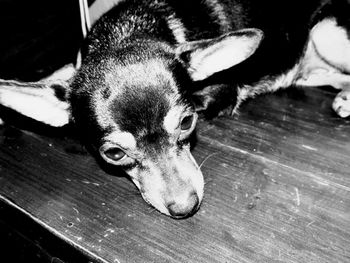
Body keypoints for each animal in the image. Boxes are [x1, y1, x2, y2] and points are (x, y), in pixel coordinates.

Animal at [0, 0, 350, 219]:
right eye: (114, 154)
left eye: (186, 122)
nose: (185, 207)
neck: (126, 32)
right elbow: (60, 73)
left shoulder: (220, 94)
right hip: (312, 64)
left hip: (326, 33)